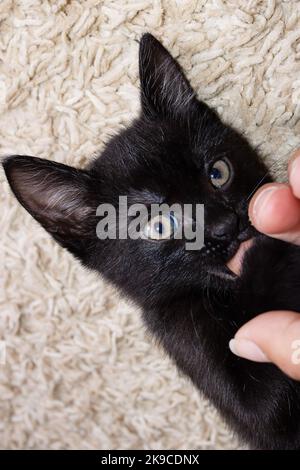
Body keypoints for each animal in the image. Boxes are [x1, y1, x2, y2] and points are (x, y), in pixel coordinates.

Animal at [2, 35, 300, 450]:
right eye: (159, 226)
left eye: (218, 172)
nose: (226, 226)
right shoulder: (190, 344)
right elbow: (266, 409)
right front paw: (268, 252)